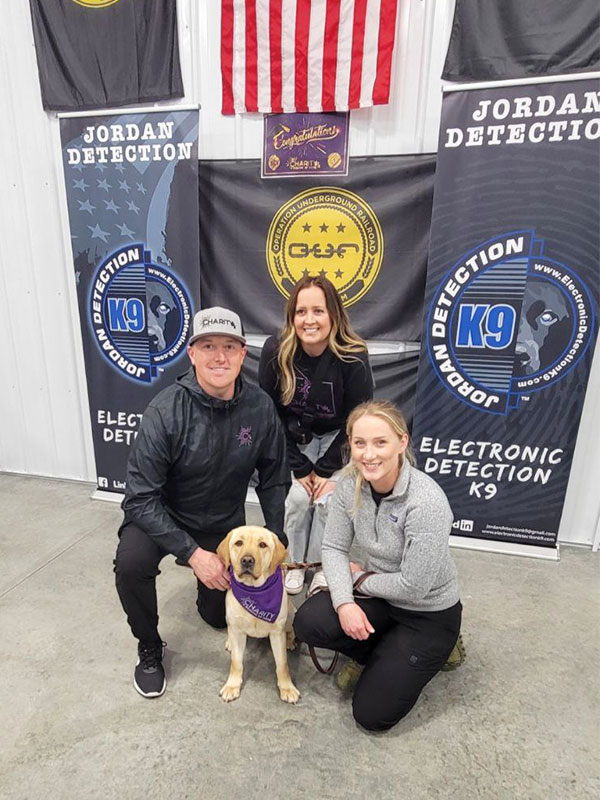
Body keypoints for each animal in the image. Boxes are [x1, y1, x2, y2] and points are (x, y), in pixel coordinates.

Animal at [216, 528, 300, 704]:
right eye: (238, 543)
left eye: (262, 545)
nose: (247, 560)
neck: (254, 591)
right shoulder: (237, 630)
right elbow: (236, 662)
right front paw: (232, 685)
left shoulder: (276, 633)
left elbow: (282, 664)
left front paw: (287, 688)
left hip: (290, 615)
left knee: (291, 629)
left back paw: (290, 641)